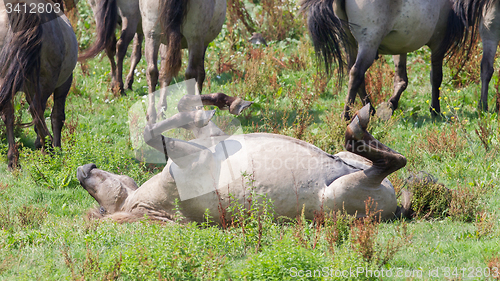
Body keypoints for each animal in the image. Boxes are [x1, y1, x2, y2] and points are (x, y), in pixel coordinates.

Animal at [0, 0, 78, 168]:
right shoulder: (64, 83)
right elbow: (57, 116)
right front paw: (54, 147)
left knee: (9, 114)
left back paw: (13, 159)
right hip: (47, 80)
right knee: (37, 109)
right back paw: (49, 149)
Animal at [75, 97, 410, 223]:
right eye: (103, 207)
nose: (83, 171)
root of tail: (393, 207)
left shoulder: (211, 139)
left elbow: (185, 115)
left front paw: (222, 103)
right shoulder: (191, 158)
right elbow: (149, 133)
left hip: (348, 162)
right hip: (342, 192)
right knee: (392, 161)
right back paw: (358, 122)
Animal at [302, 0, 490, 119]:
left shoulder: (401, 45)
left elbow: (401, 80)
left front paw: (391, 104)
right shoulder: (439, 42)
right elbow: (436, 77)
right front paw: (435, 110)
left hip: (349, 41)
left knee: (354, 73)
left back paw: (370, 110)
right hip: (369, 42)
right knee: (356, 73)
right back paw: (347, 114)